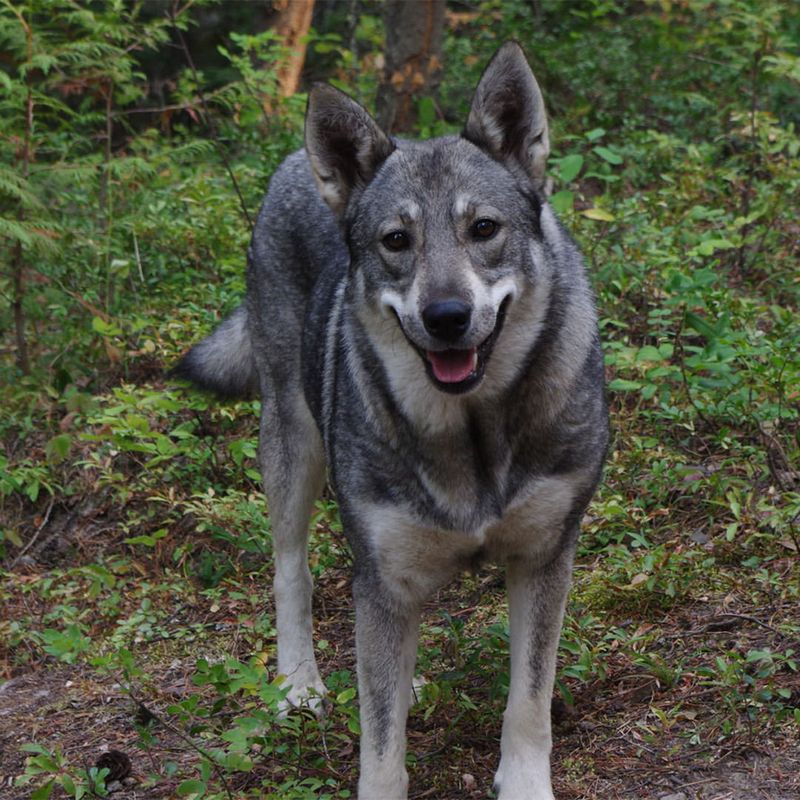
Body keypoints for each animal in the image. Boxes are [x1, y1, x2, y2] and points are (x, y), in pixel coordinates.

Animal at [175, 42, 608, 800]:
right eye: (397, 240)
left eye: (483, 229)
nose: (446, 317)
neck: (472, 434)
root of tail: (293, 162)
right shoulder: (380, 578)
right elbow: (380, 746)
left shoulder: (544, 557)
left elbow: (528, 702)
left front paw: (525, 783)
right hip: (292, 450)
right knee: (293, 573)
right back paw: (299, 684)